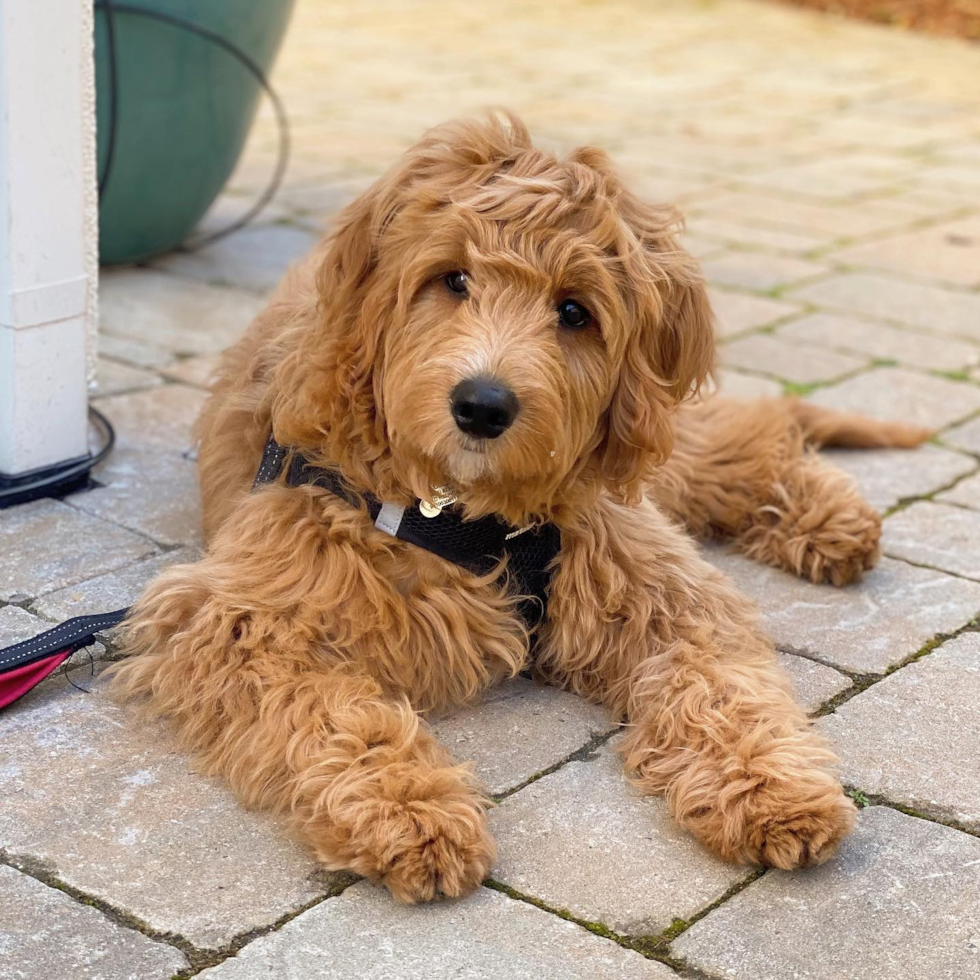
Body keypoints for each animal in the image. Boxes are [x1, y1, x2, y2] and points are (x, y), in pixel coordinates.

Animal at [113, 115, 928, 904]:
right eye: (452, 279)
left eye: (574, 310)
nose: (482, 405)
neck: (466, 516)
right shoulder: (236, 616)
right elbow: (333, 710)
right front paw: (408, 808)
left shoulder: (658, 587)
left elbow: (720, 687)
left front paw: (772, 785)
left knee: (744, 435)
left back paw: (834, 522)